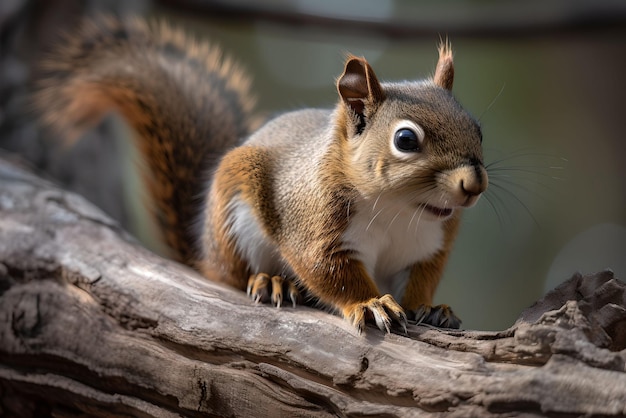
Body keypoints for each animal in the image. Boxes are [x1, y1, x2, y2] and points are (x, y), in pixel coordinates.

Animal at [35, 18, 488, 334]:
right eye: (406, 139)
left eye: (478, 128)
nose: (474, 185)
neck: (400, 210)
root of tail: (204, 251)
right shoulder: (313, 222)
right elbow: (329, 272)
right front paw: (370, 304)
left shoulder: (428, 247)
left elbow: (421, 280)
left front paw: (428, 307)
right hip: (235, 218)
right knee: (234, 277)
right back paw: (271, 281)